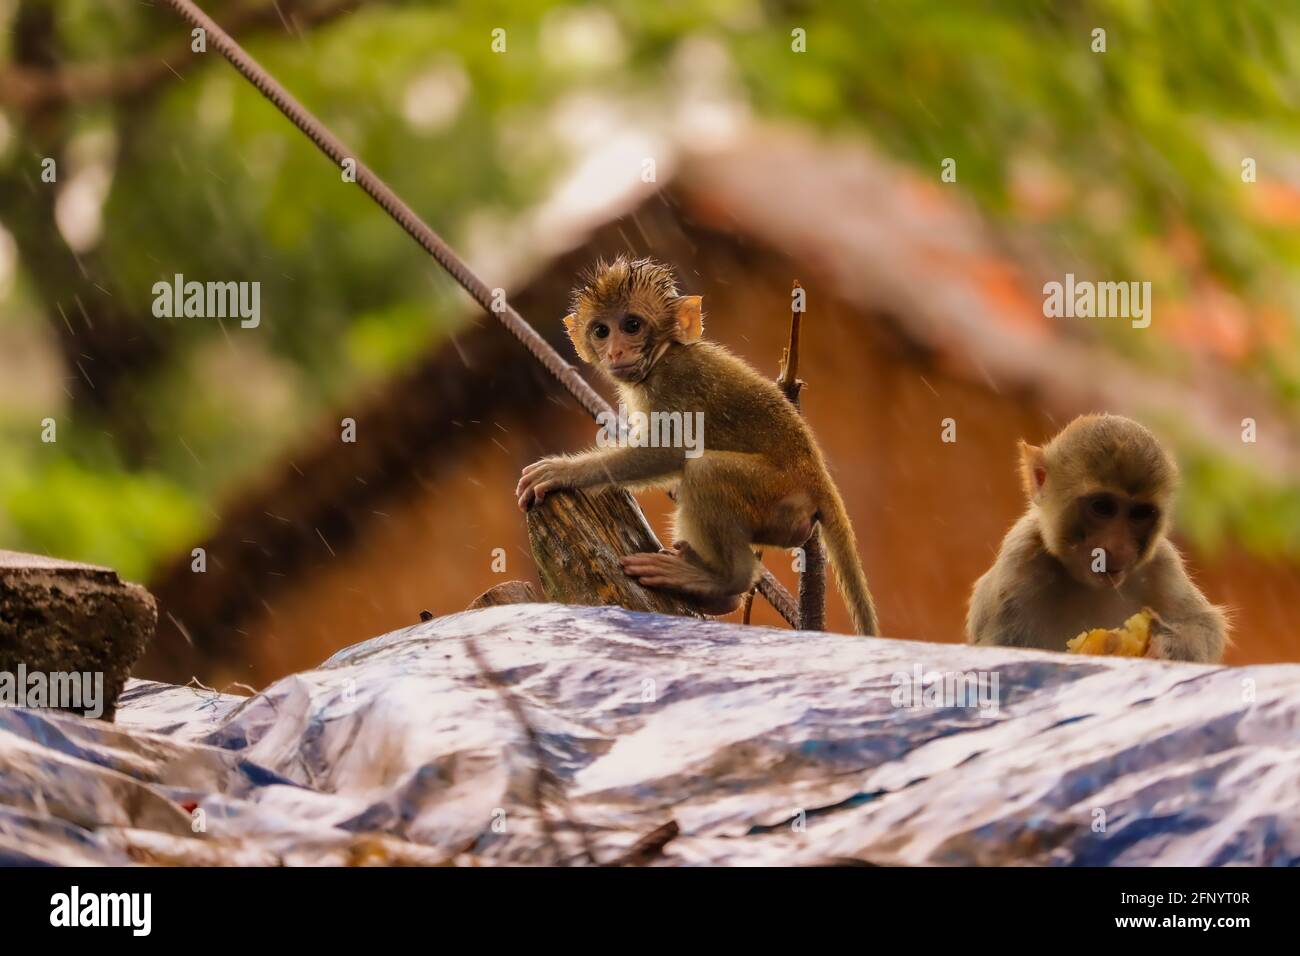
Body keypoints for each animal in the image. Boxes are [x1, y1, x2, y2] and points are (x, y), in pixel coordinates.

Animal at [967, 416, 1227, 660]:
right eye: (1102, 507)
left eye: (1140, 514)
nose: (1120, 549)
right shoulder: (1019, 561)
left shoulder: (1163, 564)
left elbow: (1206, 625)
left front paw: (1167, 646)